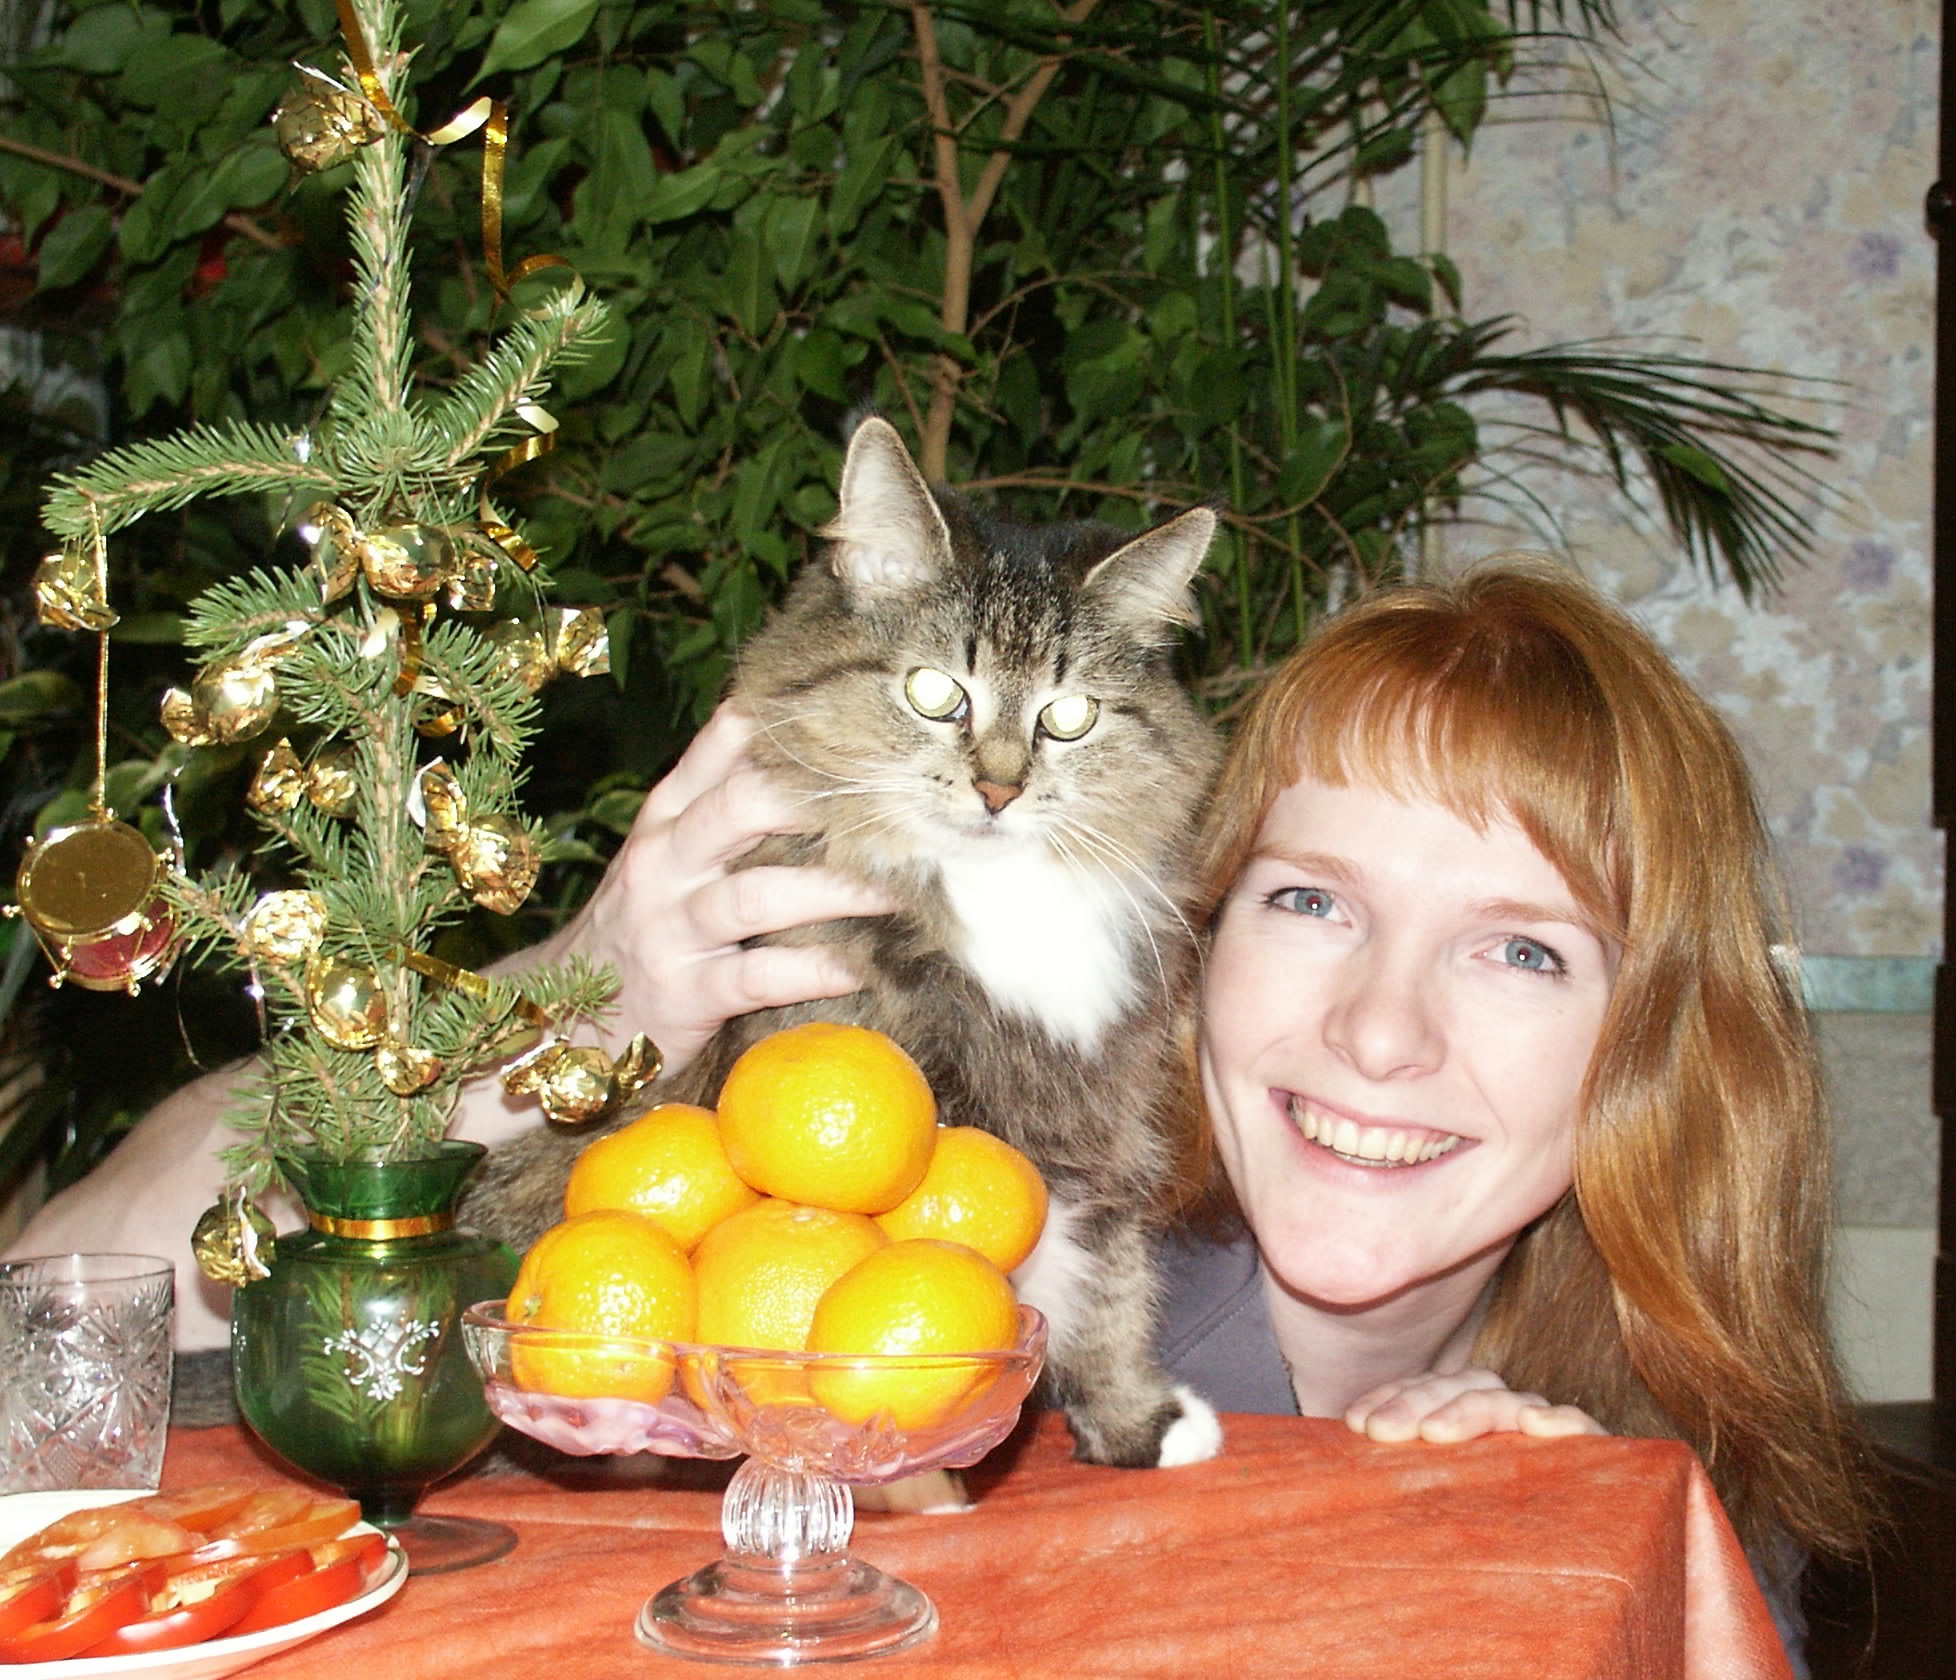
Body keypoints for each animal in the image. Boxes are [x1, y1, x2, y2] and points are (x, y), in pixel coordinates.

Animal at [465, 416, 1223, 1469]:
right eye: (935, 692)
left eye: (1068, 717)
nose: (999, 789)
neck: (995, 899)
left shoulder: (1102, 1114)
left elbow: (1110, 1286)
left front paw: (1135, 1424)